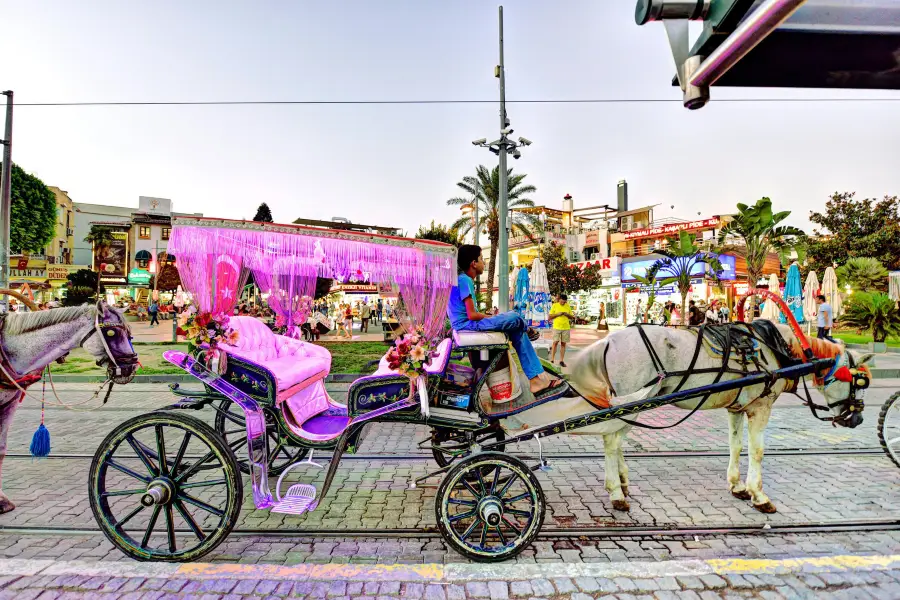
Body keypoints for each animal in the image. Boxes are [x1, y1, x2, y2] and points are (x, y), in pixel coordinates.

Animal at [0, 302, 137, 512]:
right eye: (111, 332)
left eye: (129, 333)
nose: (131, 367)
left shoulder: (10, 402)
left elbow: (1, 448)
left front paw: (2, 501)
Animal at [500, 326, 872, 512]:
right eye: (858, 379)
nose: (857, 419)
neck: (778, 350)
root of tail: (607, 339)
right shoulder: (760, 407)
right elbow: (757, 452)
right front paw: (759, 495)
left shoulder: (736, 408)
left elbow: (735, 447)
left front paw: (736, 485)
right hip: (632, 398)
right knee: (612, 439)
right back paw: (616, 492)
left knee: (616, 440)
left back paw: (621, 482)